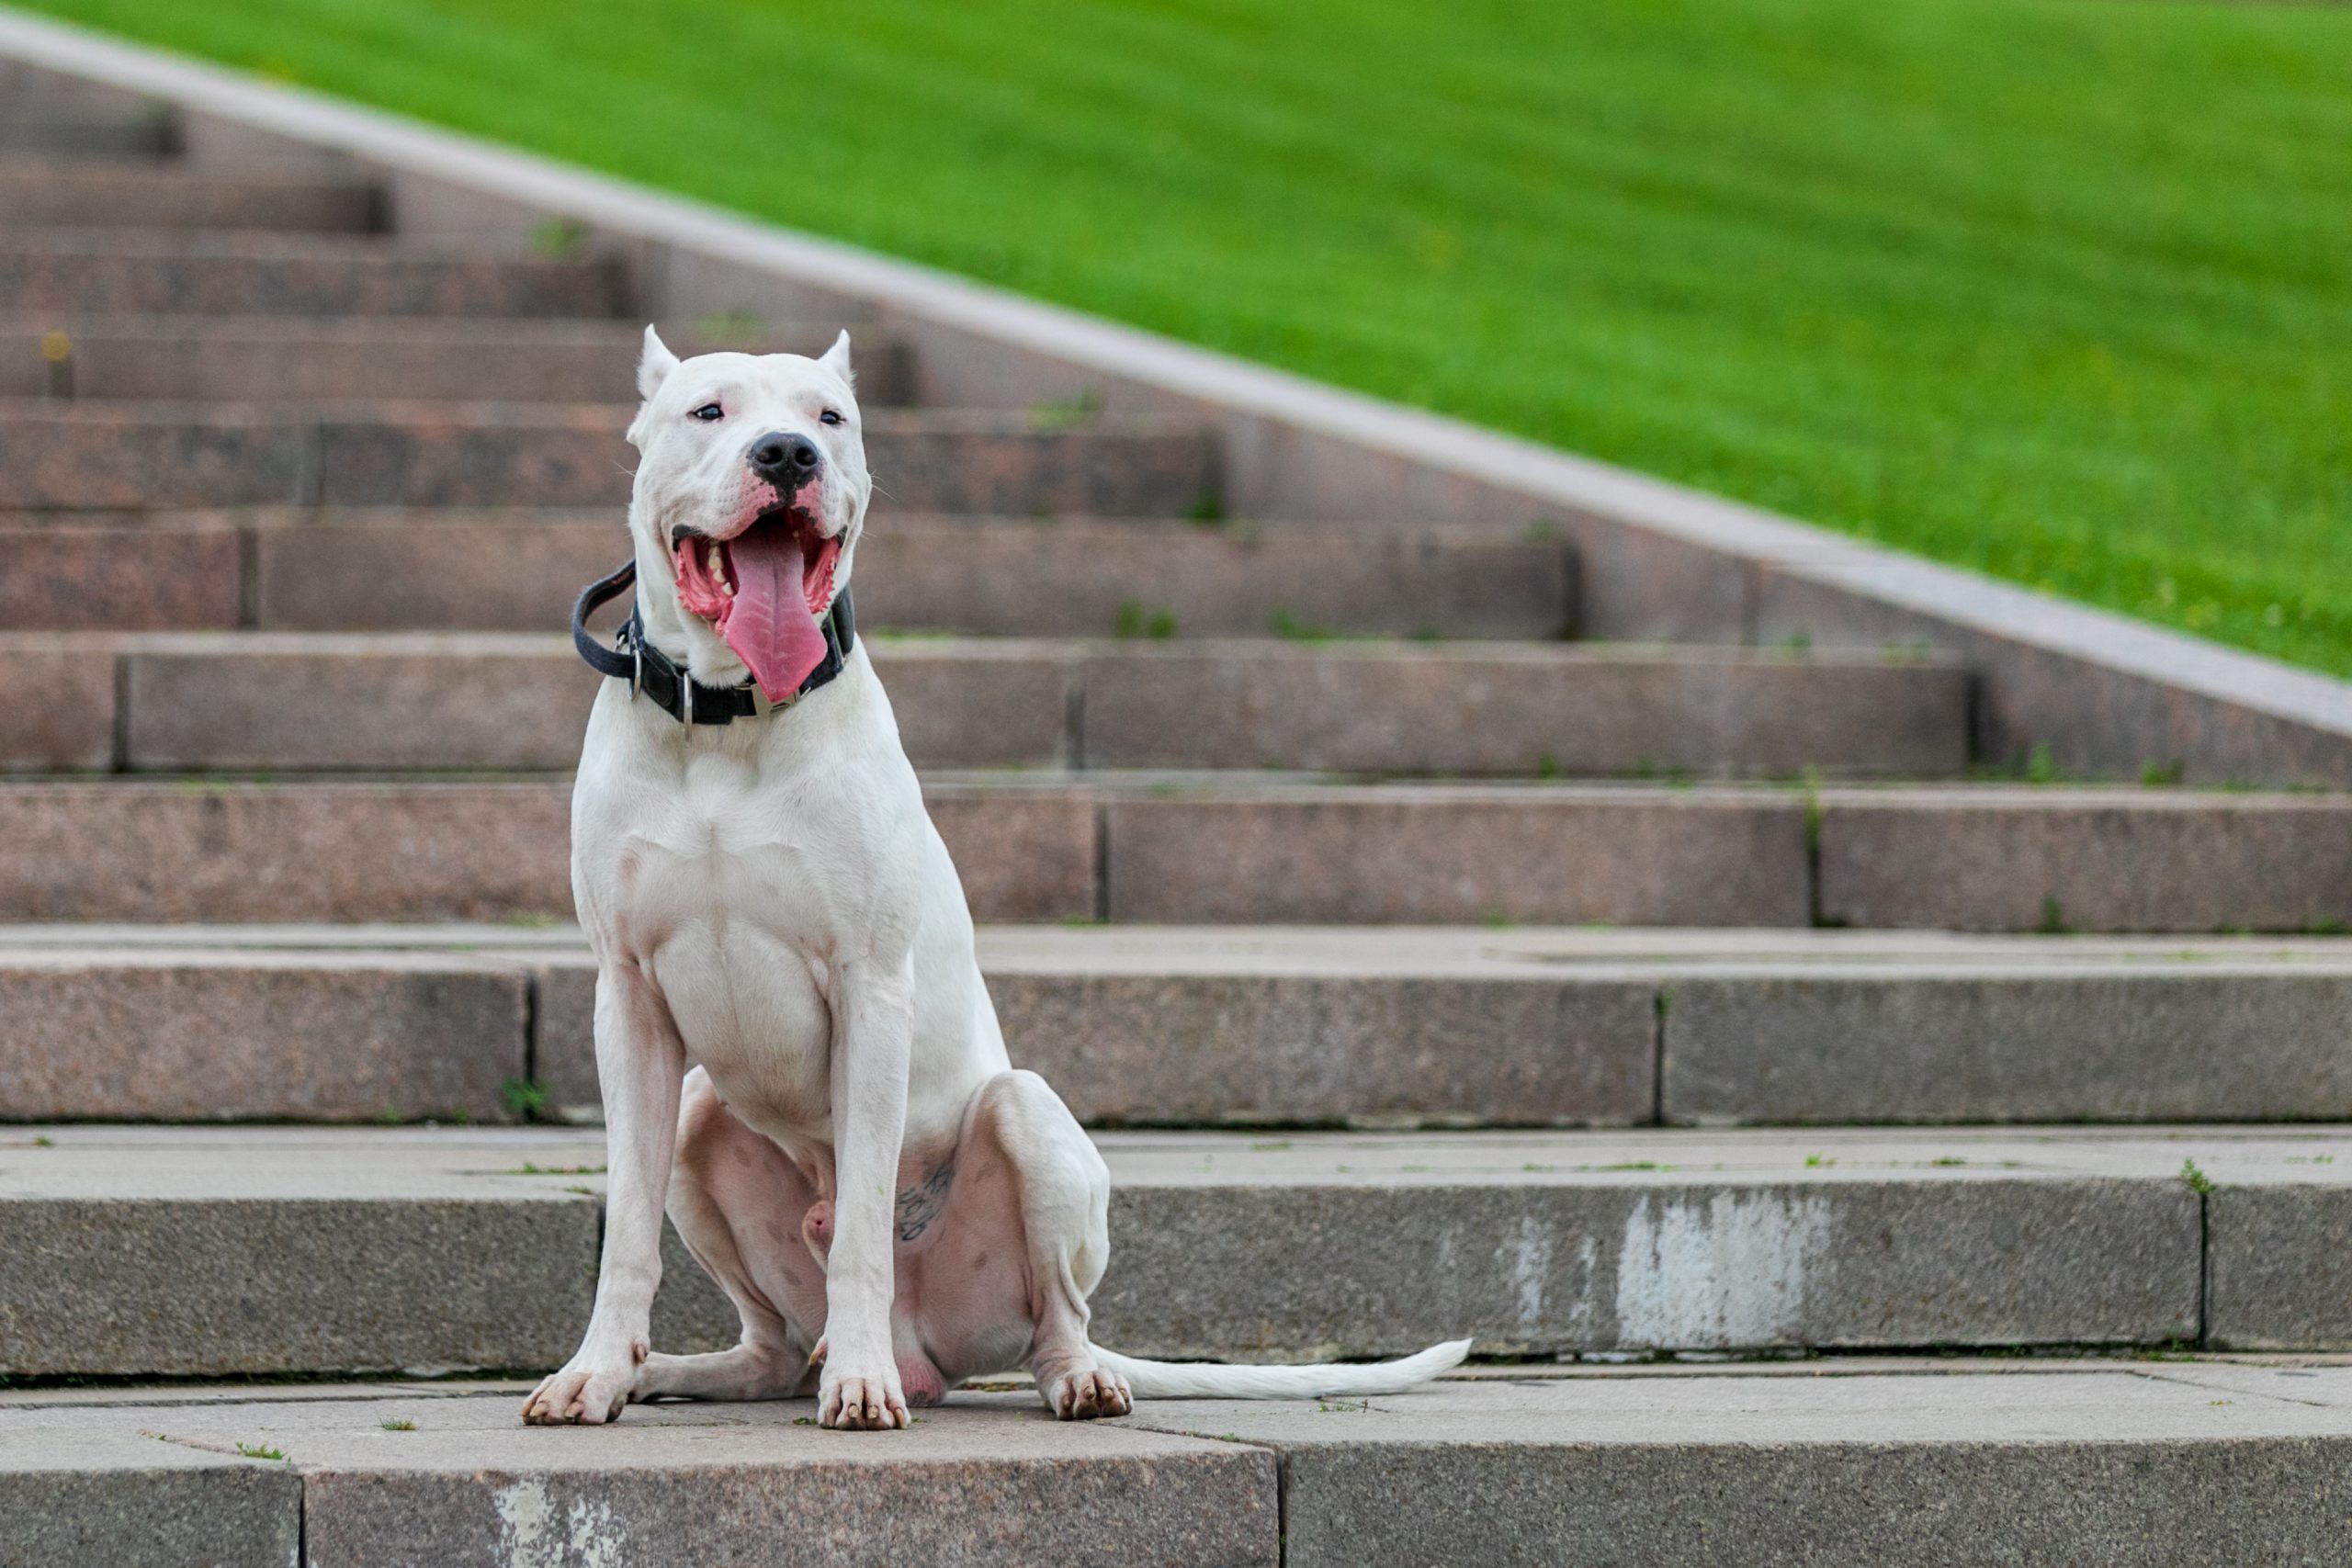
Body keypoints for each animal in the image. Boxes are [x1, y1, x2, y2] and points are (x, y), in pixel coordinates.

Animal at [524, 331, 1458, 1438]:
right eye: (709, 410)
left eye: (831, 417)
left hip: (1028, 1123)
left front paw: (861, 1388)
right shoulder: (627, 1000)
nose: (789, 454)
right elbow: (625, 1227)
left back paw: (1048, 1376)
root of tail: (931, 1350)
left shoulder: (871, 990)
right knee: (773, 1345)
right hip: (704, 1116)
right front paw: (595, 1372)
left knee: (1053, 1310)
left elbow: (863, 1230)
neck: (727, 717)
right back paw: (683, 1369)